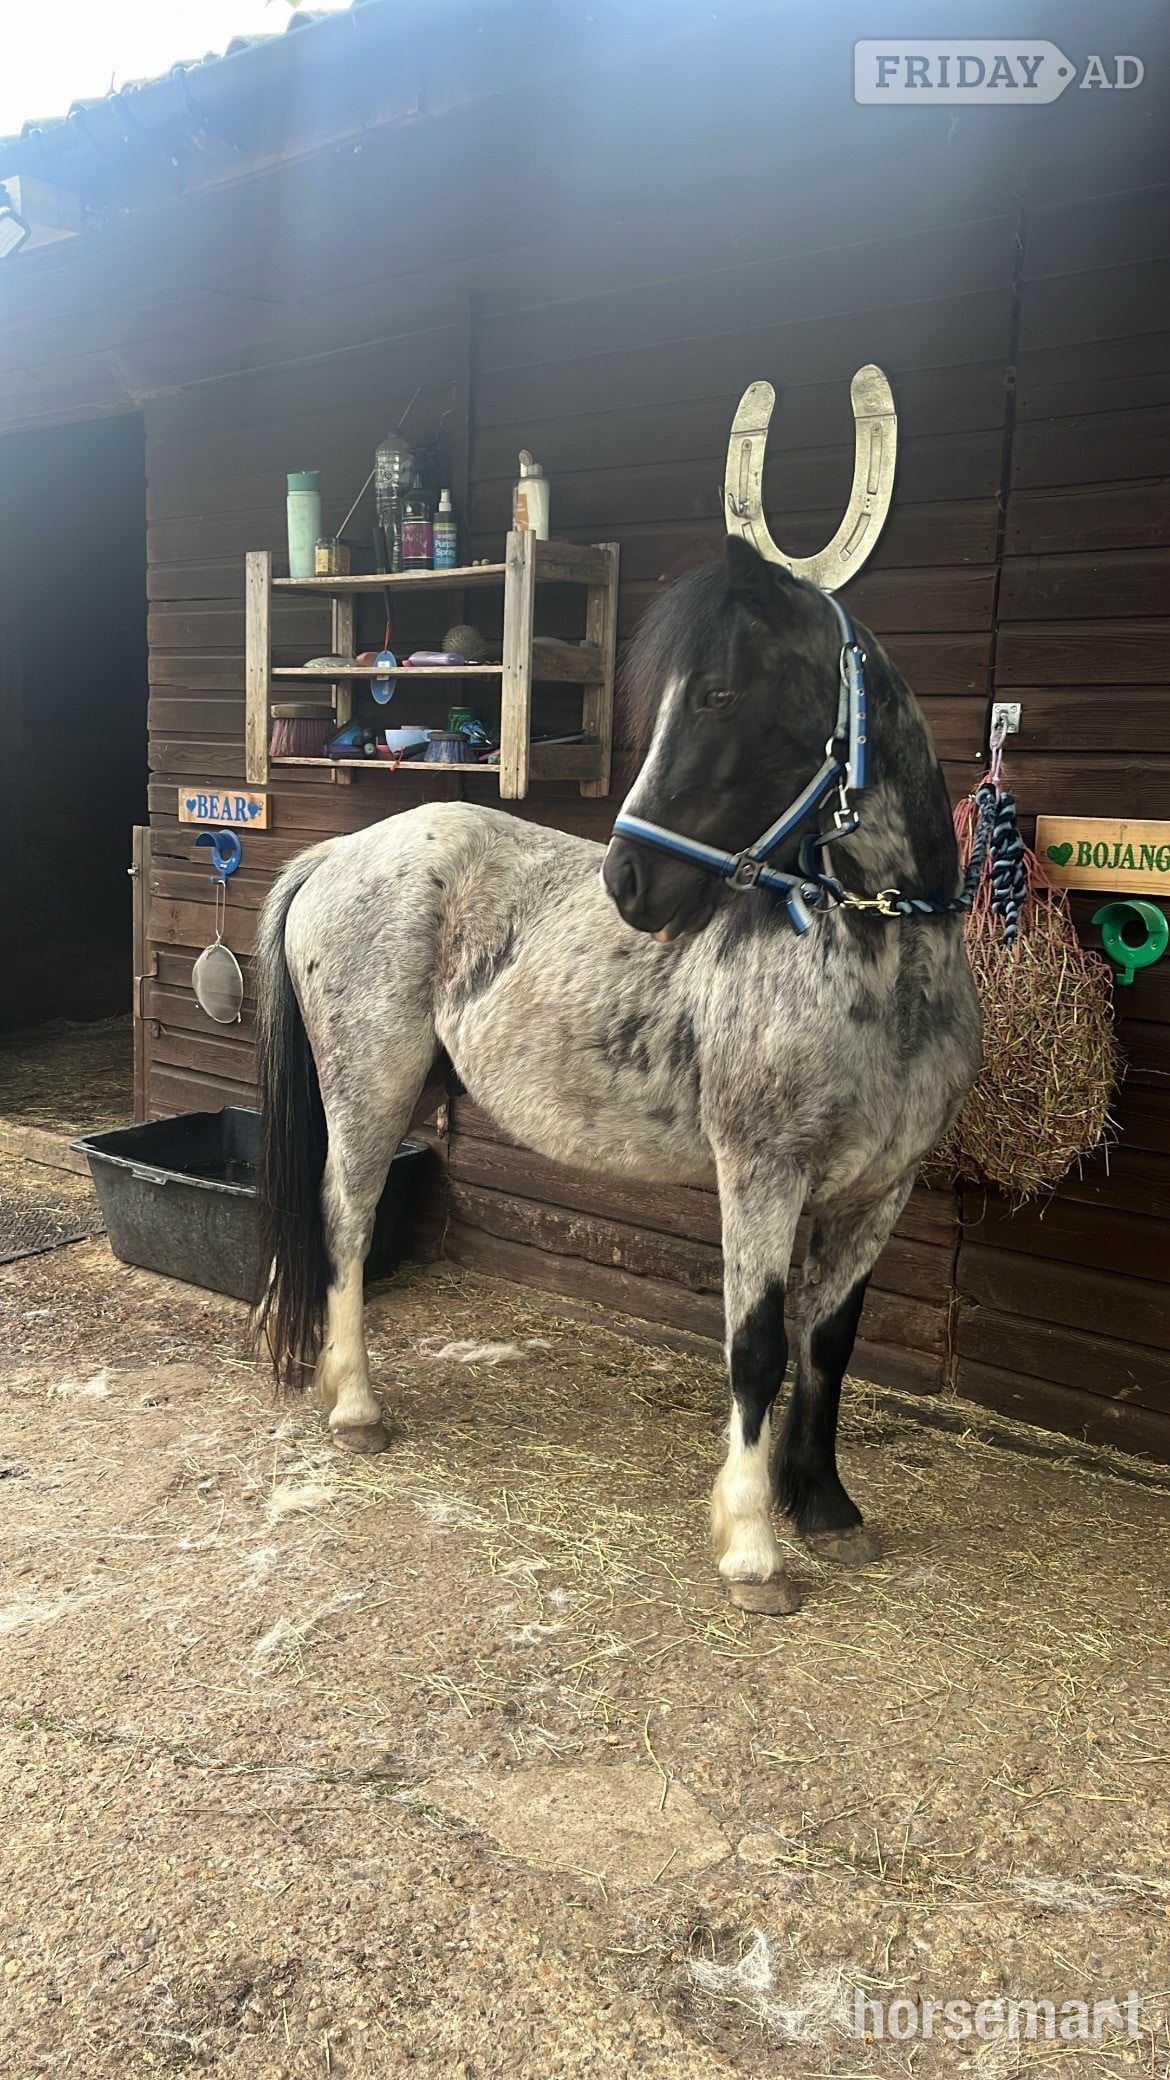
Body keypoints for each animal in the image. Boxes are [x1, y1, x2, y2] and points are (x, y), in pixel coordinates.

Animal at [254, 536, 981, 1614]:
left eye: (719, 695)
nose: (629, 883)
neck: (879, 958)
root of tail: (341, 851)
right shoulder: (761, 1174)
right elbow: (758, 1350)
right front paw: (753, 1549)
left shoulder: (878, 1189)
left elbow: (827, 1342)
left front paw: (826, 1509)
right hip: (368, 1089)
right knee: (346, 1220)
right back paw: (356, 1407)